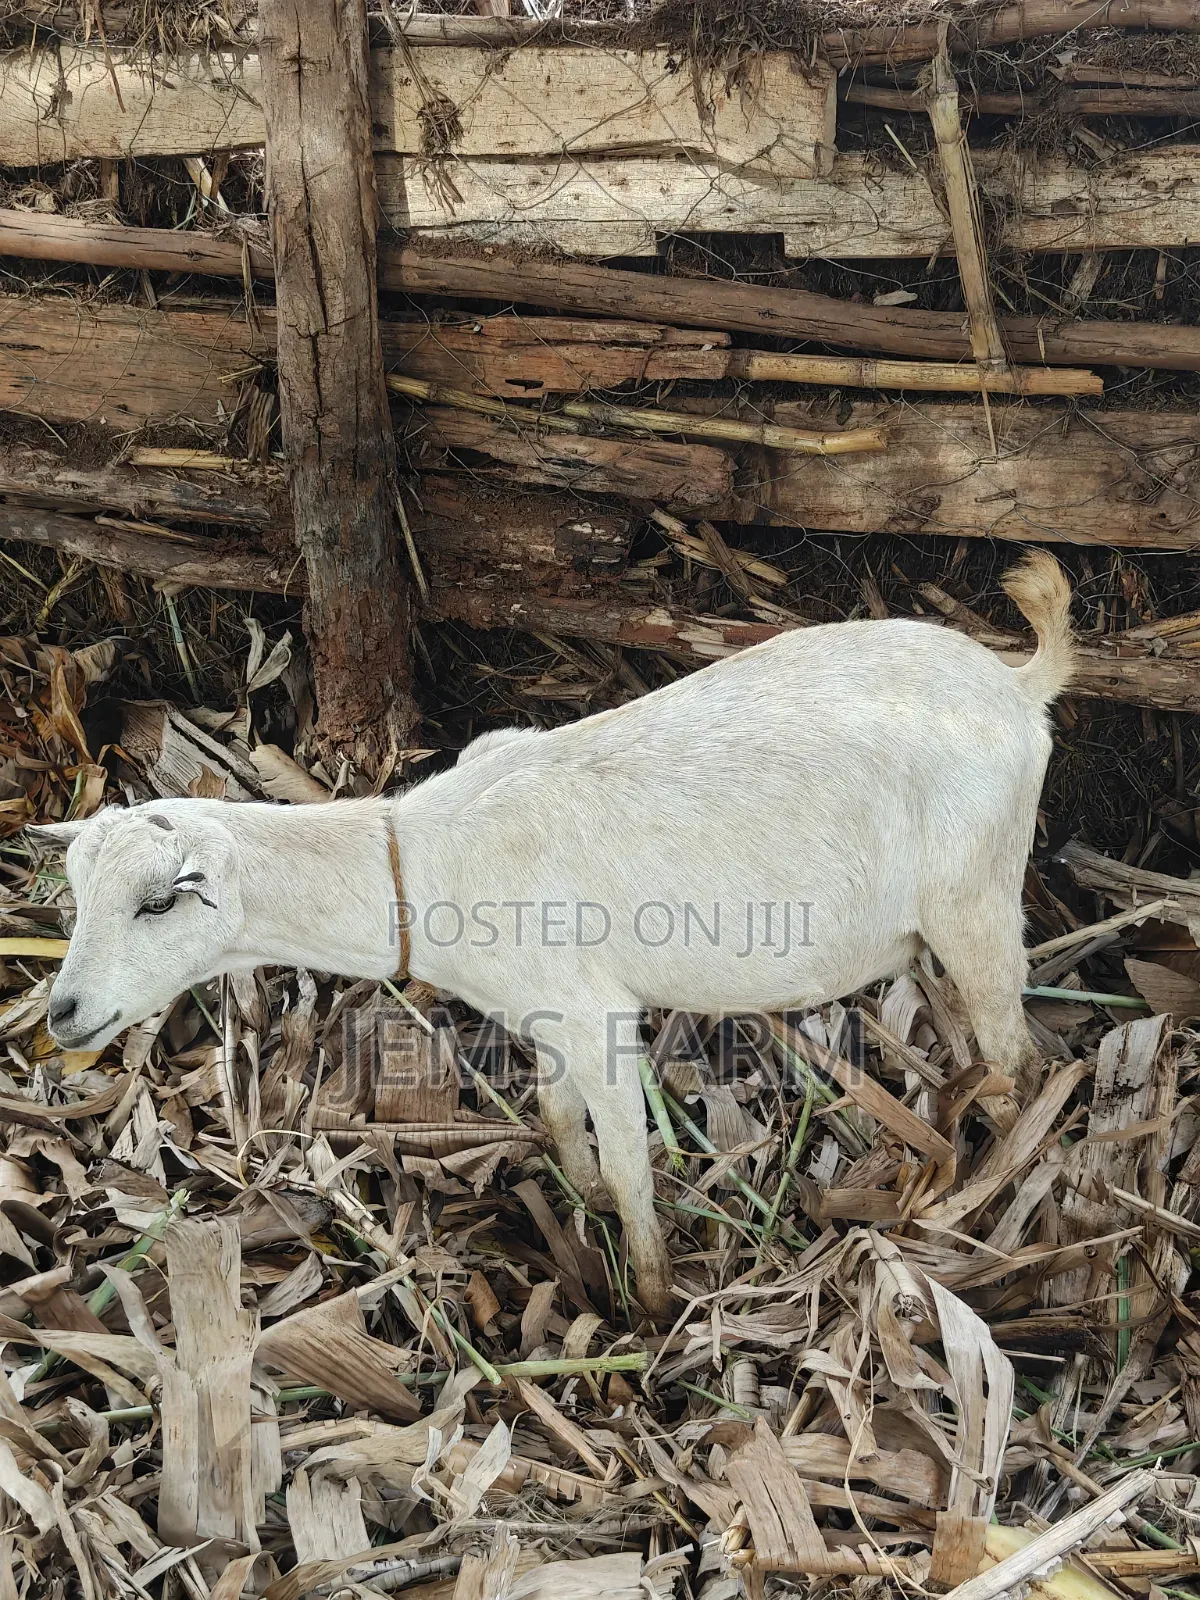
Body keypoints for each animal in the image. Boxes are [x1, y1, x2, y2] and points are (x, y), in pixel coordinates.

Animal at [30, 550, 1075, 1319]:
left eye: (157, 903)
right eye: (78, 894)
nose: (64, 1013)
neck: (423, 862)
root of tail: (1019, 685)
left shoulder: (592, 1009)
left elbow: (627, 1155)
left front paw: (649, 1298)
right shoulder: (543, 1011)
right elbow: (558, 1114)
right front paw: (582, 1199)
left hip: (977, 890)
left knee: (1018, 1046)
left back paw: (996, 1180)